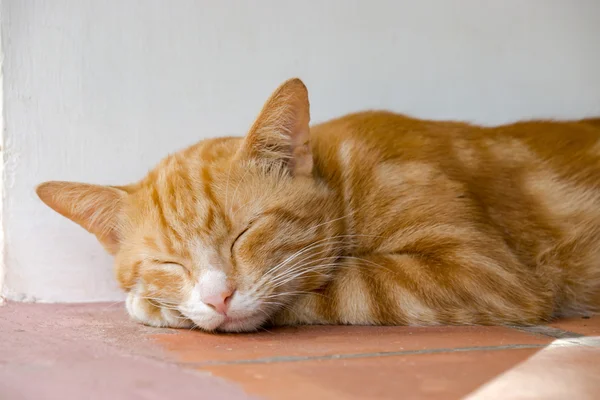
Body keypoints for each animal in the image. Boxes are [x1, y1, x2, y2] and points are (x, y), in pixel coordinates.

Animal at [36, 77, 600, 332]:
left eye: (245, 234)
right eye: (167, 263)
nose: (218, 298)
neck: (344, 177)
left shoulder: (482, 270)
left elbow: (344, 284)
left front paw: (152, 306)